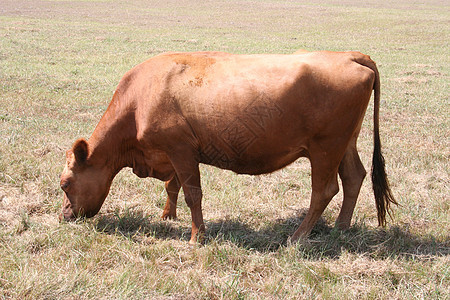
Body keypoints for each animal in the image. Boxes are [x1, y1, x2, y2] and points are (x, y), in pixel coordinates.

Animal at [59, 51, 398, 244]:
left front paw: (197, 237)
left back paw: (297, 238)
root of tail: (351, 55)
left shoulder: (180, 149)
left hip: (325, 147)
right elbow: (173, 186)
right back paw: (341, 228)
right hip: (345, 142)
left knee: (324, 190)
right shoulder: (174, 154)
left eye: (64, 184)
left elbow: (192, 194)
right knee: (353, 177)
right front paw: (168, 216)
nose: (64, 215)